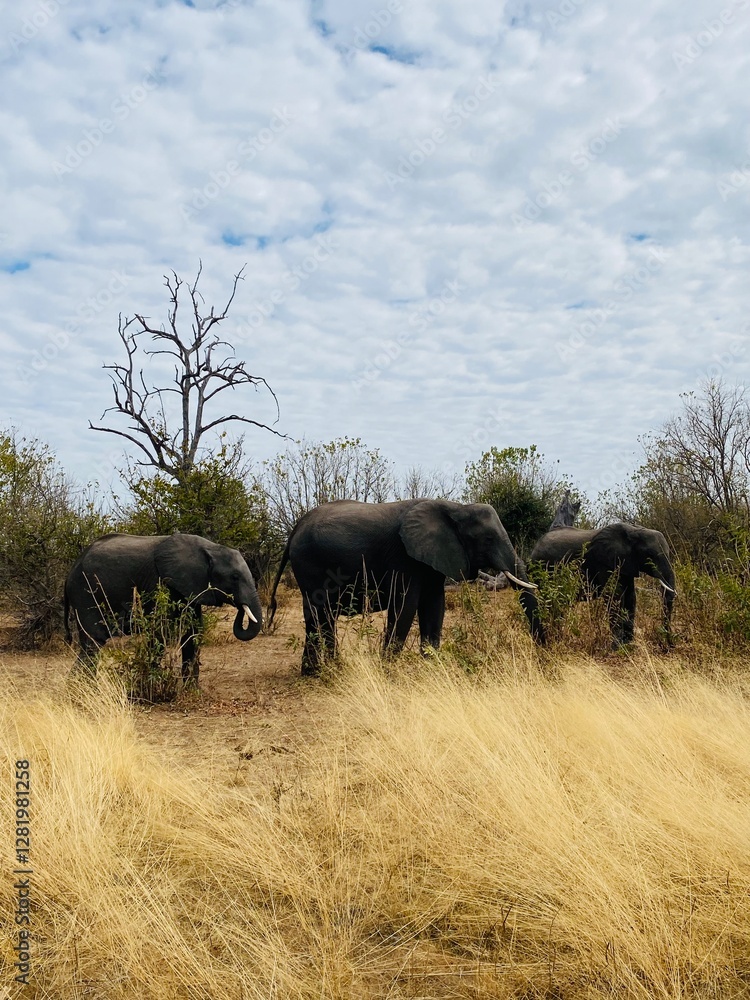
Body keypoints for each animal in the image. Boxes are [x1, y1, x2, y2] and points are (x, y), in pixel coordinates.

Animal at [64, 532, 263, 682]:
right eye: (235, 577)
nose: (240, 606)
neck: (211, 548)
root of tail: (71, 570)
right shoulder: (163, 583)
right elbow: (161, 630)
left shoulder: (189, 589)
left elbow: (193, 632)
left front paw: (191, 691)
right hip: (85, 593)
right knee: (93, 642)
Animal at [266, 498, 537, 675]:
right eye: (488, 539)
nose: (541, 651)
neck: (456, 507)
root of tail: (295, 529)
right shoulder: (404, 558)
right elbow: (405, 607)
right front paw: (387, 672)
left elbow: (434, 607)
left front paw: (431, 669)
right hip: (309, 563)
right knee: (320, 614)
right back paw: (329, 671)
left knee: (317, 617)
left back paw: (317, 672)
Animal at [519, 522, 676, 648]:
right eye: (649, 555)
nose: (669, 645)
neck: (634, 530)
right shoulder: (605, 562)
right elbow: (614, 596)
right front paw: (618, 646)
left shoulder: (627, 565)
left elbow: (630, 597)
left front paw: (629, 643)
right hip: (542, 570)